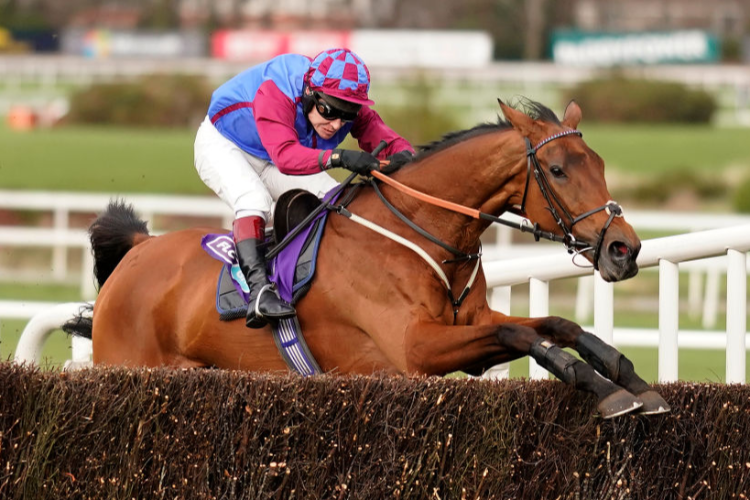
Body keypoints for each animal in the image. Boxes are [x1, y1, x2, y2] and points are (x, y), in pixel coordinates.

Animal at [69, 100, 668, 418]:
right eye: (560, 170)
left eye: (598, 163)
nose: (624, 248)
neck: (424, 236)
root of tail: (140, 250)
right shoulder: (413, 350)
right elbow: (521, 335)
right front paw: (607, 392)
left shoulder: (470, 324)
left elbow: (557, 325)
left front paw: (629, 378)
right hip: (128, 364)